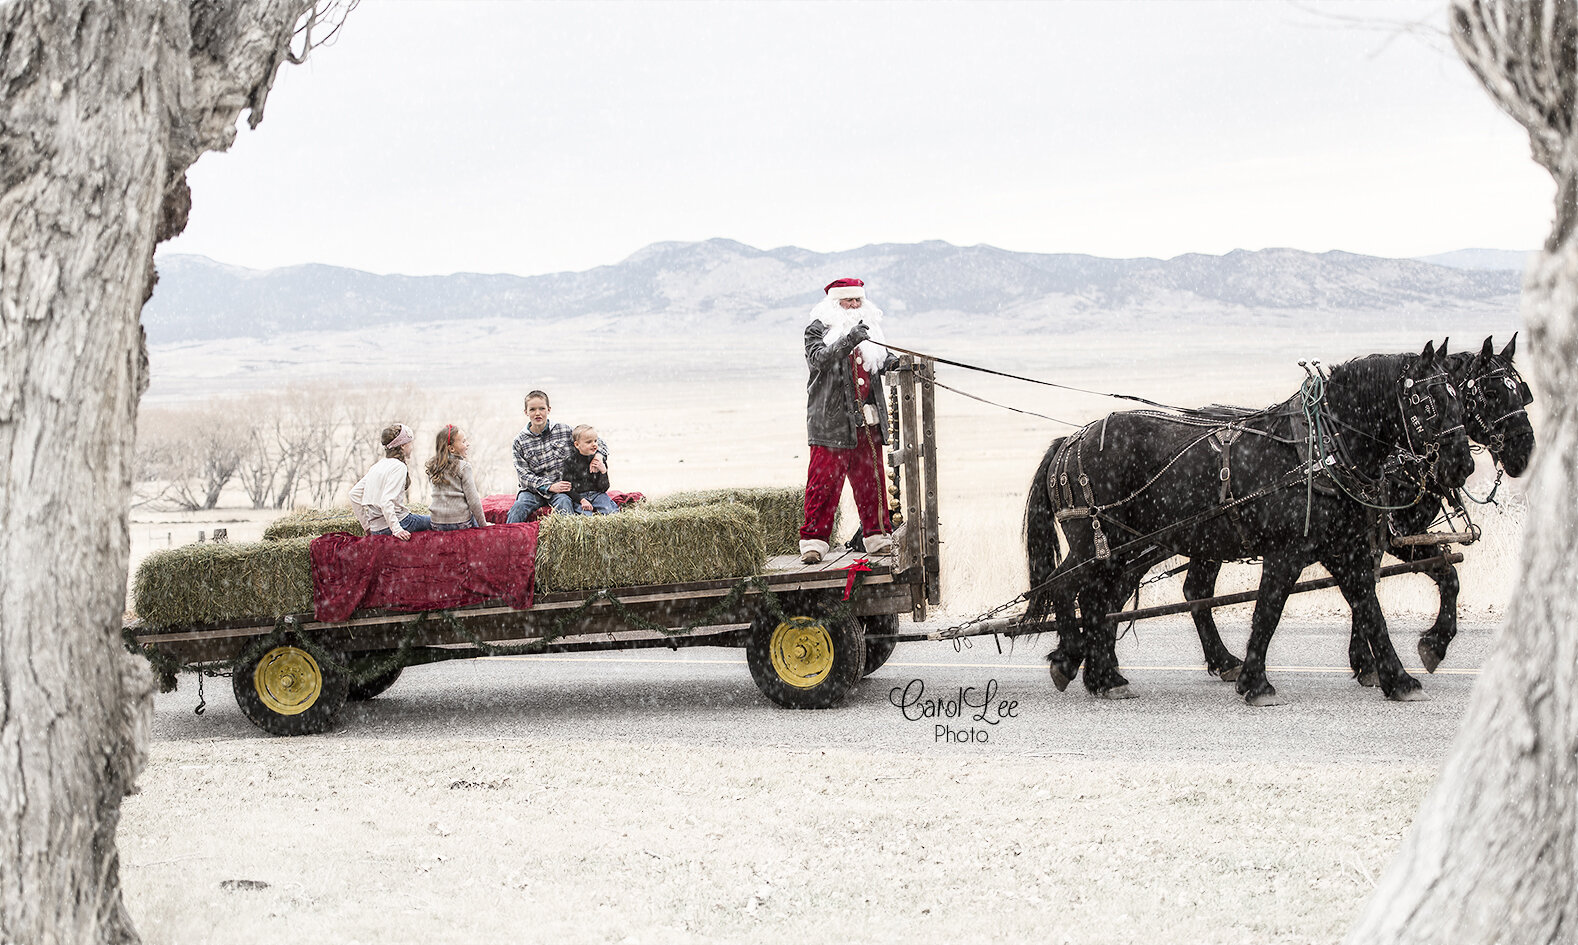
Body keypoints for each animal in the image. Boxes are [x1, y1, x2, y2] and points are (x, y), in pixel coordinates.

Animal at [1028, 343, 1470, 706]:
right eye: (1428, 400)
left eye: (1459, 395)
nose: (1462, 464)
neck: (1320, 450)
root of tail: (1071, 441)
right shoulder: (1287, 551)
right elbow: (1269, 610)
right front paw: (1256, 683)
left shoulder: (1348, 551)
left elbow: (1370, 607)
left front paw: (1399, 678)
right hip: (1100, 542)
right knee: (1070, 588)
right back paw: (1075, 661)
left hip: (1123, 548)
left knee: (1100, 597)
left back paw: (1103, 676)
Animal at [1180, 336, 1533, 691]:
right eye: (1491, 394)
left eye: (1522, 392)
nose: (1525, 451)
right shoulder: (1390, 538)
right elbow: (1379, 588)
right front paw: (1377, 661)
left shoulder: (1383, 538)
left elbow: (1439, 578)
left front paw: (1409, 652)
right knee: (1197, 590)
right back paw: (1225, 661)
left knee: (1196, 590)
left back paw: (1223, 661)